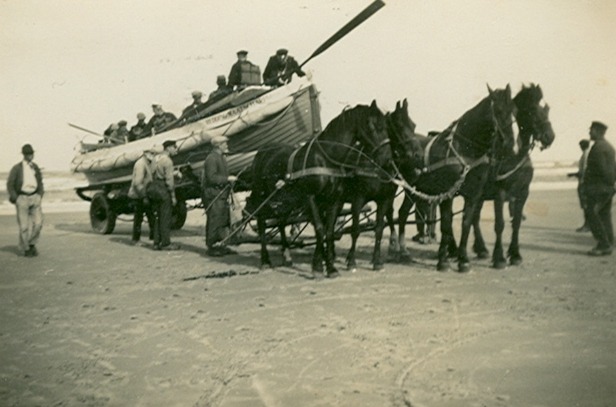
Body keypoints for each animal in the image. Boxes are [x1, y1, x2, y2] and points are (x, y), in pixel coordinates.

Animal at [243, 101, 388, 278]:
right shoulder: (311, 197)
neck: (325, 159)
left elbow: (328, 231)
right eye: (374, 126)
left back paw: (287, 256)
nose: (387, 156)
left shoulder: (334, 200)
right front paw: (320, 266)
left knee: (281, 223)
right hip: (262, 196)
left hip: (286, 200)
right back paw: (265, 260)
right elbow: (319, 228)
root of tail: (262, 151)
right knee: (262, 222)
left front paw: (328, 266)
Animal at [342, 98, 424, 270]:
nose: (419, 156)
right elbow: (355, 230)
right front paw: (351, 260)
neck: (377, 165)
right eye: (399, 125)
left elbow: (379, 228)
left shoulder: (384, 198)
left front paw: (376, 260)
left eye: (413, 125)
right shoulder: (358, 199)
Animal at [392, 84, 516, 272]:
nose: (509, 144)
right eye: (499, 110)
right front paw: (443, 260)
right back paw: (402, 251)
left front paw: (463, 259)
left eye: (513, 111)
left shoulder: (473, 195)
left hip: (417, 189)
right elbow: (446, 223)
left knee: (403, 212)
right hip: (409, 188)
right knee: (402, 213)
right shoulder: (447, 194)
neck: (465, 150)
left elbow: (466, 223)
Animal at [470, 83, 556, 268]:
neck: (514, 155)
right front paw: (499, 257)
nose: (550, 136)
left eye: (546, 109)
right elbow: (500, 224)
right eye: (532, 109)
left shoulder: (523, 193)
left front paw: (515, 254)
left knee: (474, 217)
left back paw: (481, 249)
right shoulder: (500, 194)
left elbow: (516, 223)